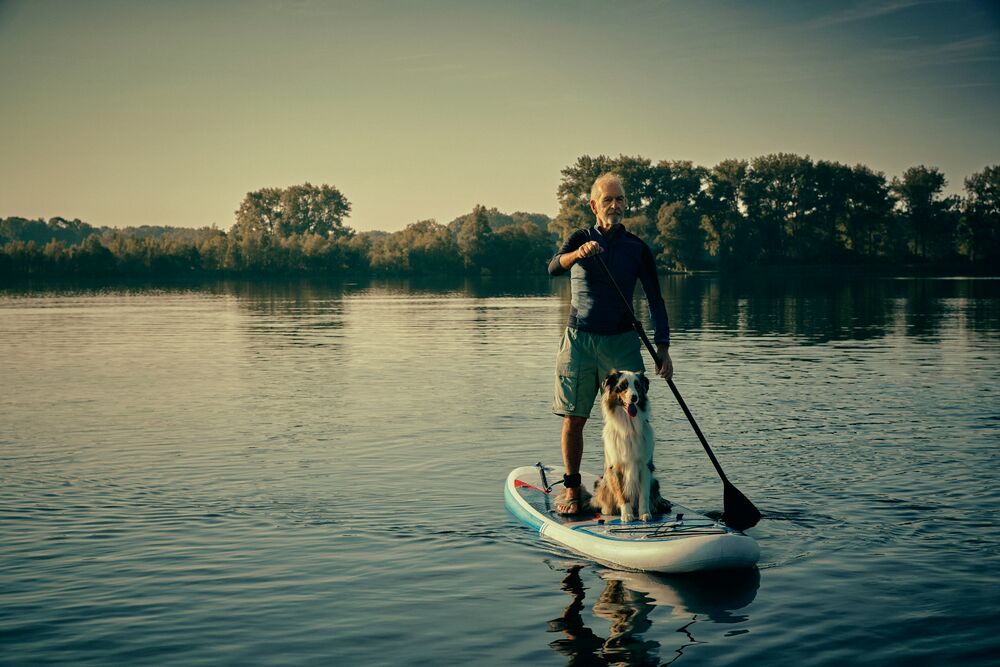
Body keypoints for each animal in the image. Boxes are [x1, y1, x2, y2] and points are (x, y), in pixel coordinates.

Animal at [592, 370, 672, 520]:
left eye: (637, 386)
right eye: (623, 386)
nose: (634, 397)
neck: (629, 426)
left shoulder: (645, 465)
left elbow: (644, 495)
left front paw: (645, 513)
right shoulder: (615, 467)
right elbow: (622, 493)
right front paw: (627, 514)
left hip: (655, 482)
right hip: (603, 483)